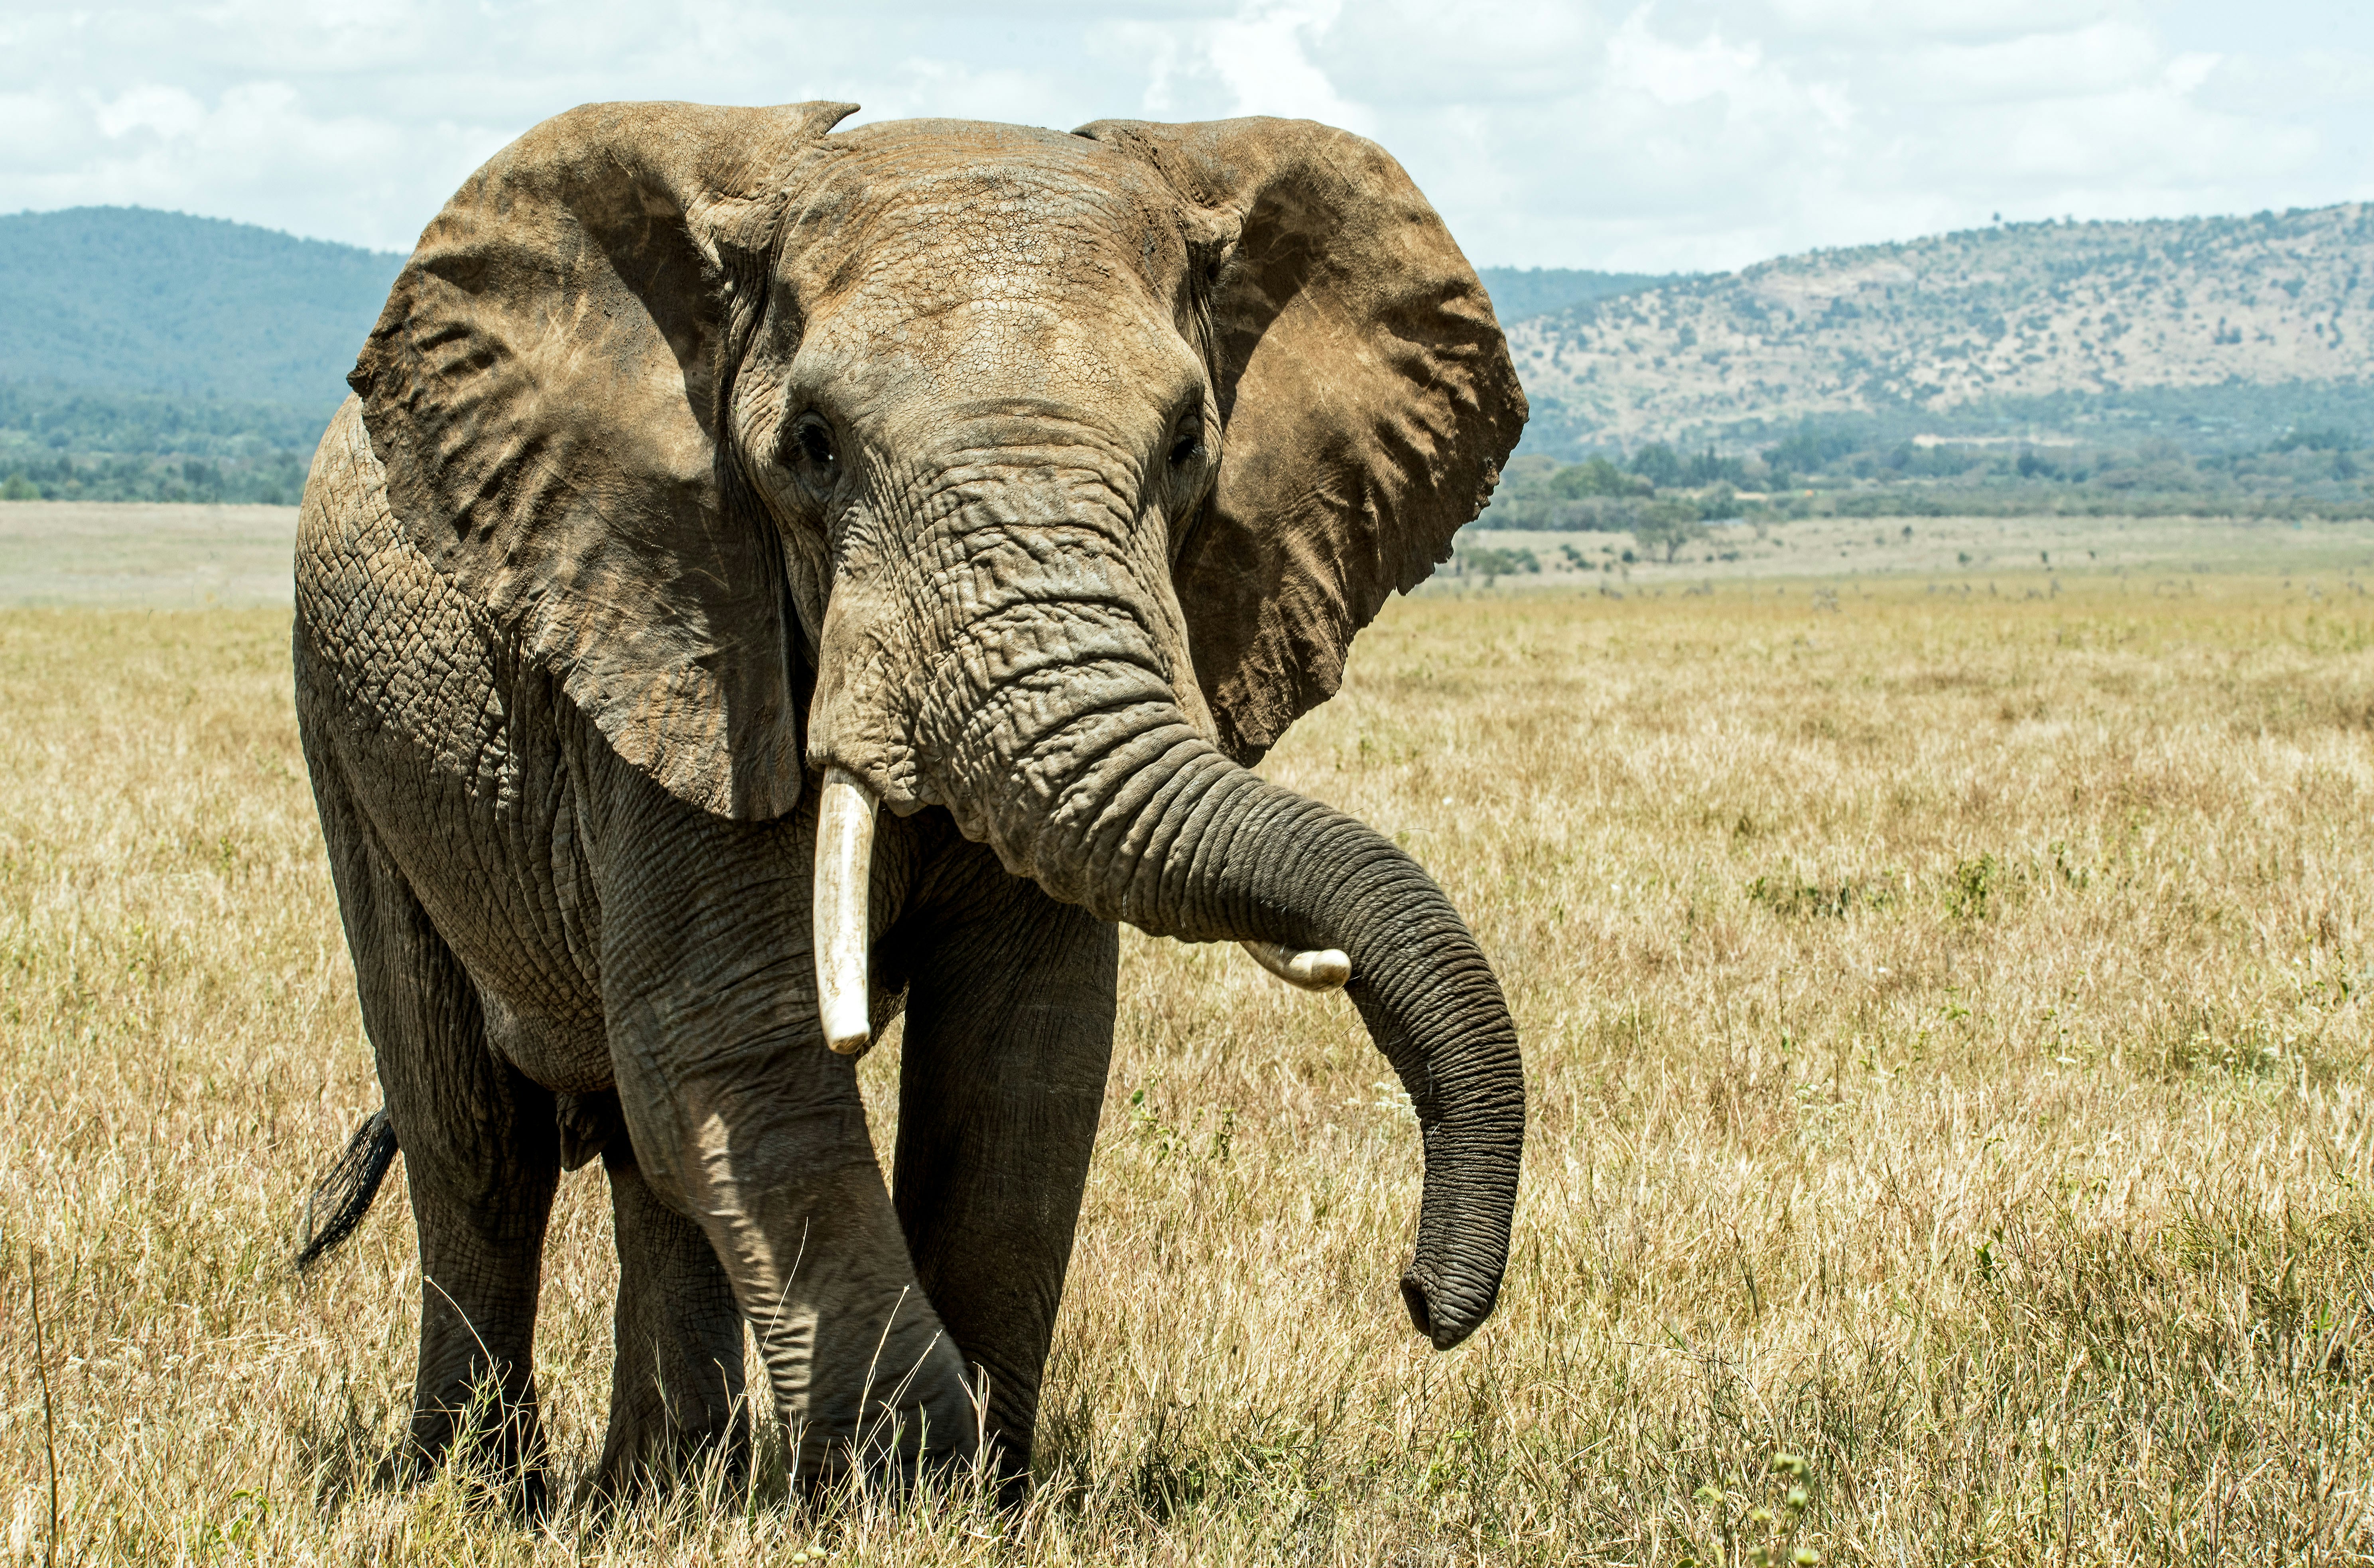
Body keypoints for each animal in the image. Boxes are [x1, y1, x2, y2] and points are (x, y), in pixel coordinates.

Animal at [289, 98, 1527, 1508]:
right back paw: (480, 1492)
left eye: (1185, 445)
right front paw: (912, 1481)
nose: (1424, 1295)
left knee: (642, 1157)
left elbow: (1022, 1057)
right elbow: (733, 1040)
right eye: (813, 448)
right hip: (350, 723)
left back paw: (661, 1492)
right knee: (477, 1138)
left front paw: (981, 1492)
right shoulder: (682, 637)